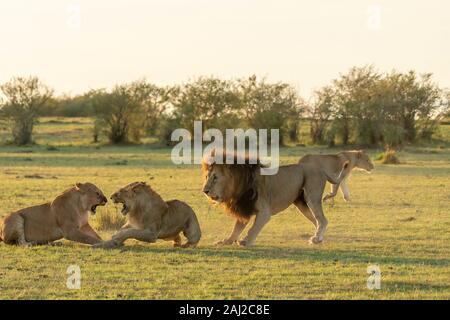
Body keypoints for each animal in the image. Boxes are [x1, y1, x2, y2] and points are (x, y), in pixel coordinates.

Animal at [202, 154, 354, 246]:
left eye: (215, 178)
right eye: (207, 177)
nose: (205, 191)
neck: (239, 184)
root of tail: (321, 169)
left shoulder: (264, 212)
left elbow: (253, 228)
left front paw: (245, 241)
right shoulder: (244, 206)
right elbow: (236, 228)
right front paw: (226, 241)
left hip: (312, 196)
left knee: (323, 220)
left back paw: (316, 239)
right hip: (302, 204)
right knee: (318, 221)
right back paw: (318, 237)